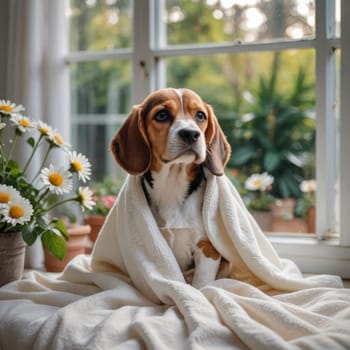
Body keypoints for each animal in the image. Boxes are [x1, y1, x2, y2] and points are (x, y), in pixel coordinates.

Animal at [110, 87, 232, 288]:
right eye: (162, 115)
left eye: (200, 115)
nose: (191, 134)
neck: (173, 185)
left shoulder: (208, 249)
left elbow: (201, 283)